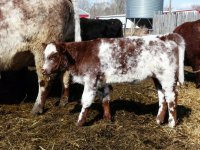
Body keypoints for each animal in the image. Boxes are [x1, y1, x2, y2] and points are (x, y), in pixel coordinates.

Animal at [41, 33, 185, 128]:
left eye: (54, 56)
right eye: (44, 56)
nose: (43, 71)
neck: (81, 54)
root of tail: (164, 36)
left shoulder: (91, 79)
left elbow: (86, 101)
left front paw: (80, 122)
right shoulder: (101, 81)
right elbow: (105, 98)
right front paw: (107, 118)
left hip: (167, 76)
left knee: (171, 97)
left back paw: (172, 123)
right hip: (157, 77)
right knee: (162, 97)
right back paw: (159, 120)